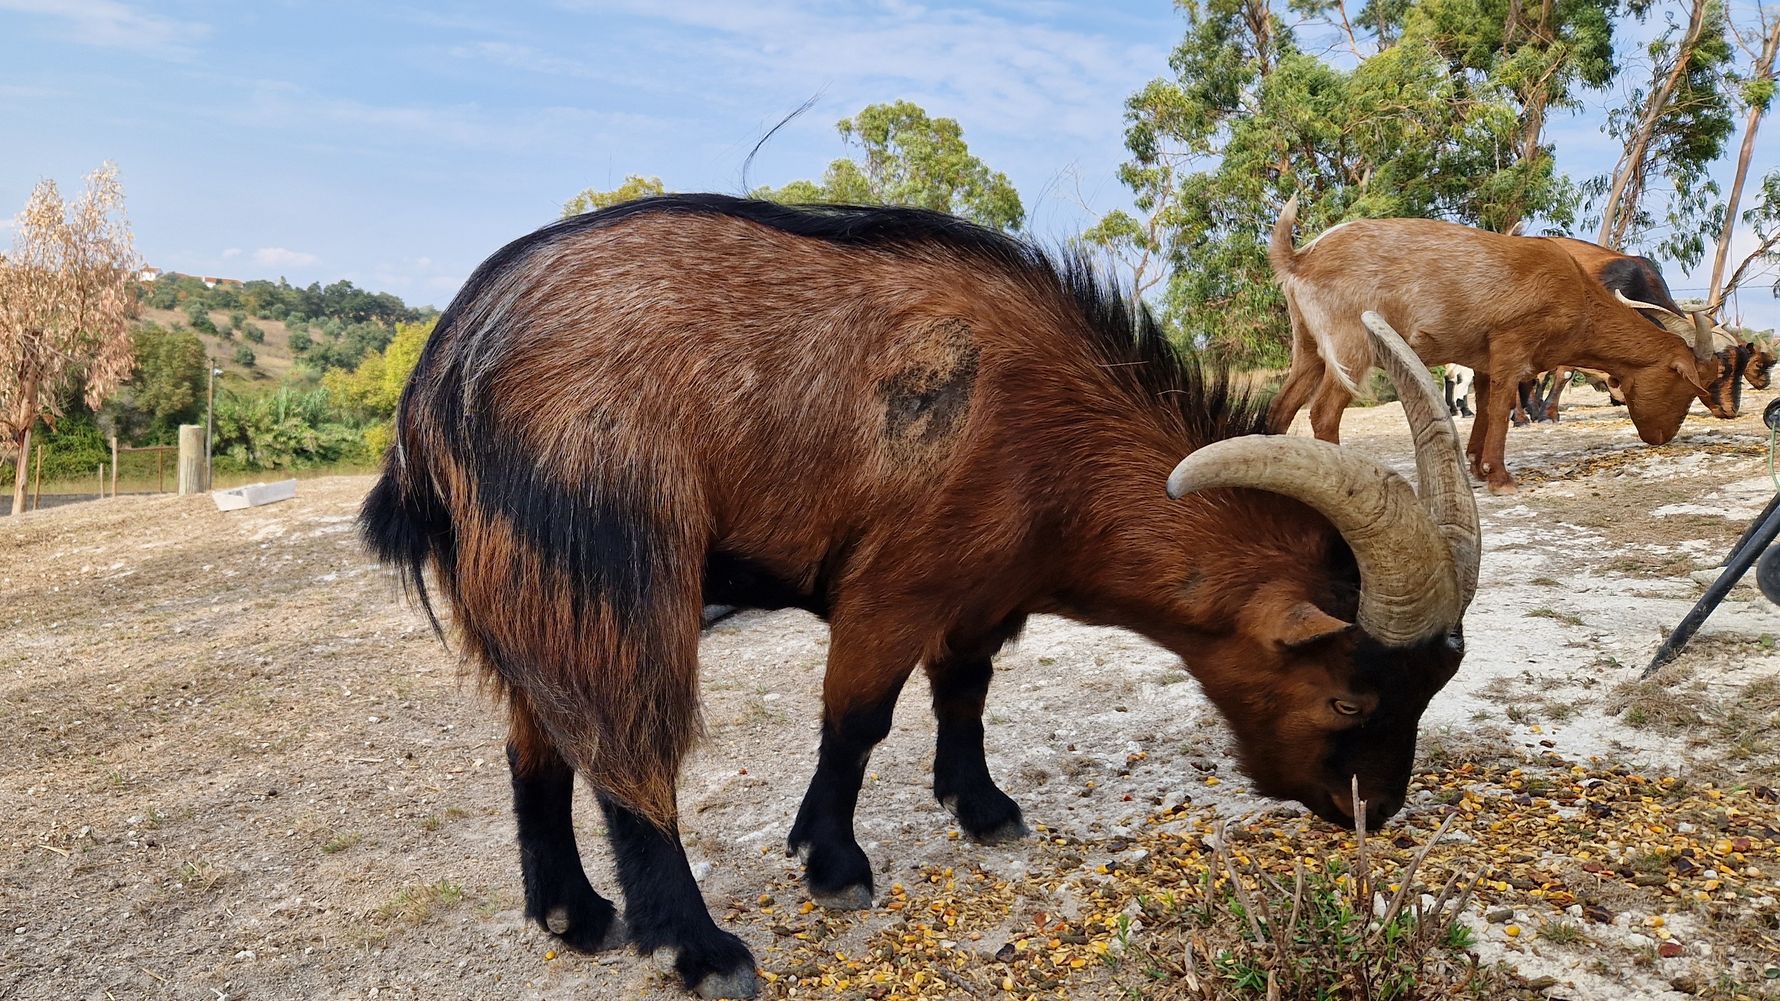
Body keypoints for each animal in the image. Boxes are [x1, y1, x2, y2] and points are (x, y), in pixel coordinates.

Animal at [361, 195, 1480, 999]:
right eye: (1347, 694)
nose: (1373, 808)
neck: (1052, 431)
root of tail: (439, 378)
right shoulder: (894, 583)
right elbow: (857, 719)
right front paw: (832, 863)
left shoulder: (978, 592)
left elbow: (965, 693)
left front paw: (981, 806)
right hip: (614, 566)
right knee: (626, 748)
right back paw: (697, 946)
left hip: (525, 583)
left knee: (533, 741)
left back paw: (572, 913)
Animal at [1266, 198, 1738, 494]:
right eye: (1689, 382)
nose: (1661, 437)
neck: (1576, 289)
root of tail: (1301, 258)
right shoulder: (1512, 344)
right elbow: (1499, 407)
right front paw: (1500, 477)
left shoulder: (1483, 357)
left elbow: (1485, 402)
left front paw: (1477, 465)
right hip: (1351, 345)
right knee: (1324, 412)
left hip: (1309, 346)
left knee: (1282, 405)